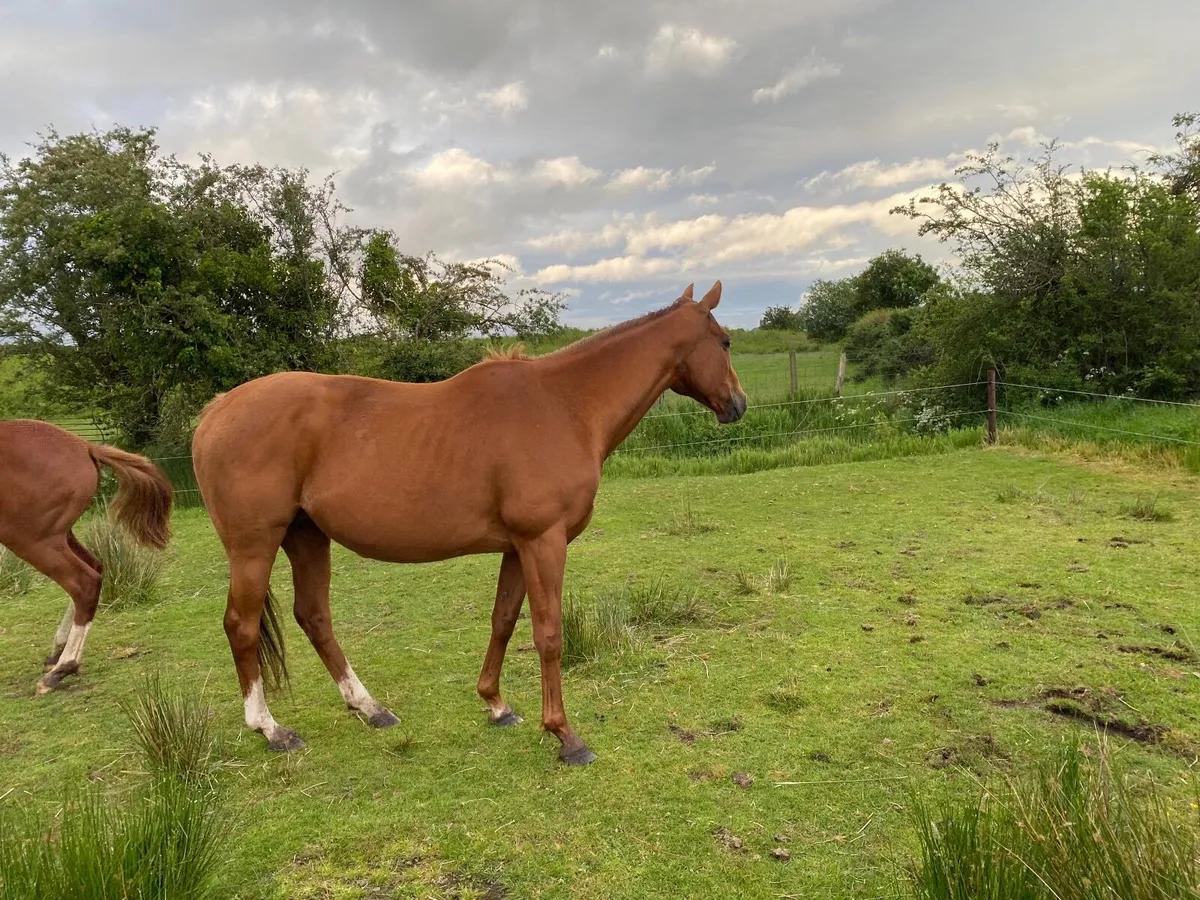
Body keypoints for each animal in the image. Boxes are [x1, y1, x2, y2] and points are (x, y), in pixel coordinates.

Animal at [0, 420, 173, 693]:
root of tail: (85, 446)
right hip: (60, 535)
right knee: (94, 569)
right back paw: (57, 655)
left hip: (32, 539)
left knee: (84, 582)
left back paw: (61, 669)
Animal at [191, 281, 746, 764]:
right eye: (724, 341)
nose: (738, 404)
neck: (564, 405)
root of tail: (216, 411)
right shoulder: (544, 542)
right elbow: (548, 634)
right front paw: (565, 734)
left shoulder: (517, 547)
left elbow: (503, 620)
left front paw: (496, 704)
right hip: (254, 546)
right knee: (241, 626)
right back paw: (271, 729)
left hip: (307, 536)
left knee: (314, 617)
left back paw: (370, 708)